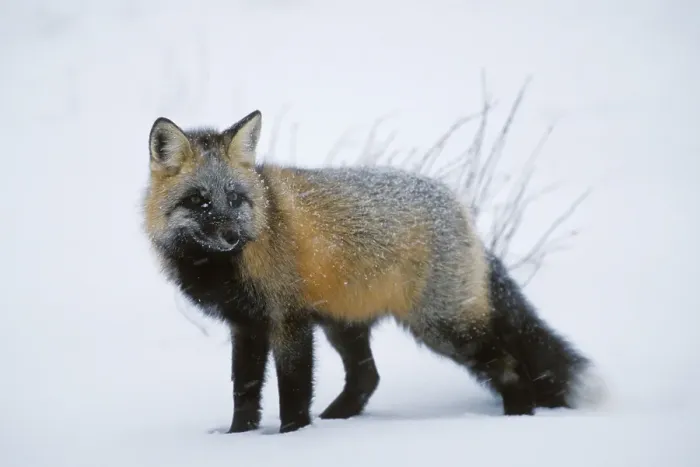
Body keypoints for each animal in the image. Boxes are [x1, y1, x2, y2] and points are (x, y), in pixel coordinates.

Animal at [142, 109, 602, 434]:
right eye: (199, 201)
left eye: (235, 199)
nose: (233, 236)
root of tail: (458, 207)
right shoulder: (246, 325)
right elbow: (245, 391)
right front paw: (238, 438)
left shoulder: (289, 321)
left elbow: (293, 389)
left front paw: (291, 437)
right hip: (345, 323)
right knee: (367, 377)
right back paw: (337, 419)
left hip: (444, 327)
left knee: (510, 366)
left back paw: (519, 420)